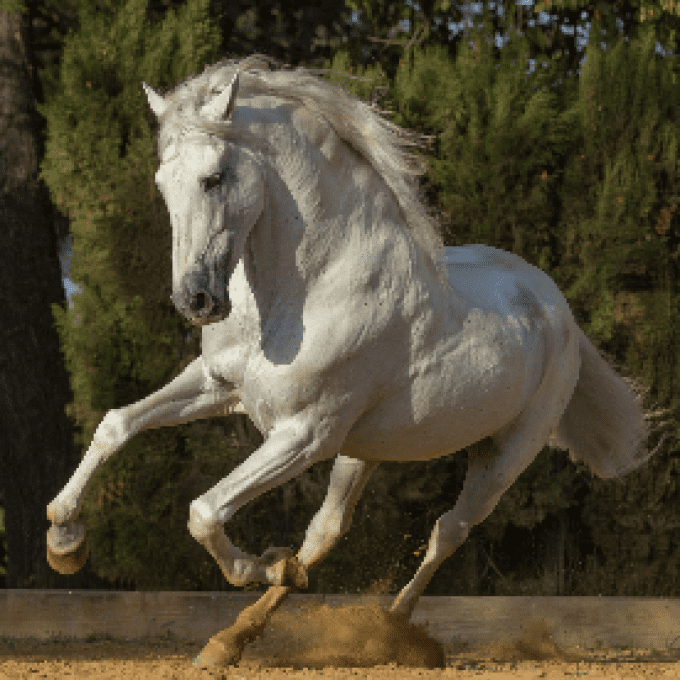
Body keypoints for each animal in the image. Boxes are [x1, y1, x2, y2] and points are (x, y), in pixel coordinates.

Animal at [46, 55, 660, 628]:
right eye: (161, 183)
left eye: (214, 178)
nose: (195, 300)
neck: (305, 291)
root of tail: (557, 309)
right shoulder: (220, 386)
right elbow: (116, 424)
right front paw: (63, 538)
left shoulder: (304, 434)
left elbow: (205, 511)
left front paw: (255, 565)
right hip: (363, 449)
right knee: (327, 531)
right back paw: (233, 640)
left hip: (503, 457)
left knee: (448, 530)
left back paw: (391, 624)